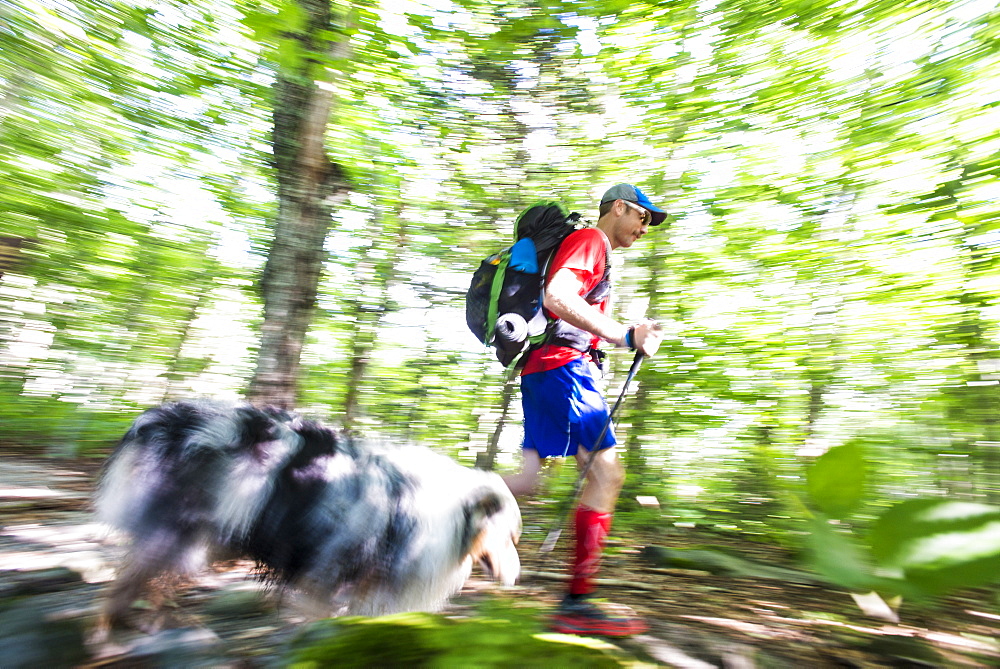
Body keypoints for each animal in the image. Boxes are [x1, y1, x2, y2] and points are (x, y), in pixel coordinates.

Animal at [94, 400, 524, 624]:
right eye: (509, 537)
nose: (517, 578)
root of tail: (163, 418)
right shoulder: (329, 579)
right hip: (176, 532)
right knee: (125, 584)